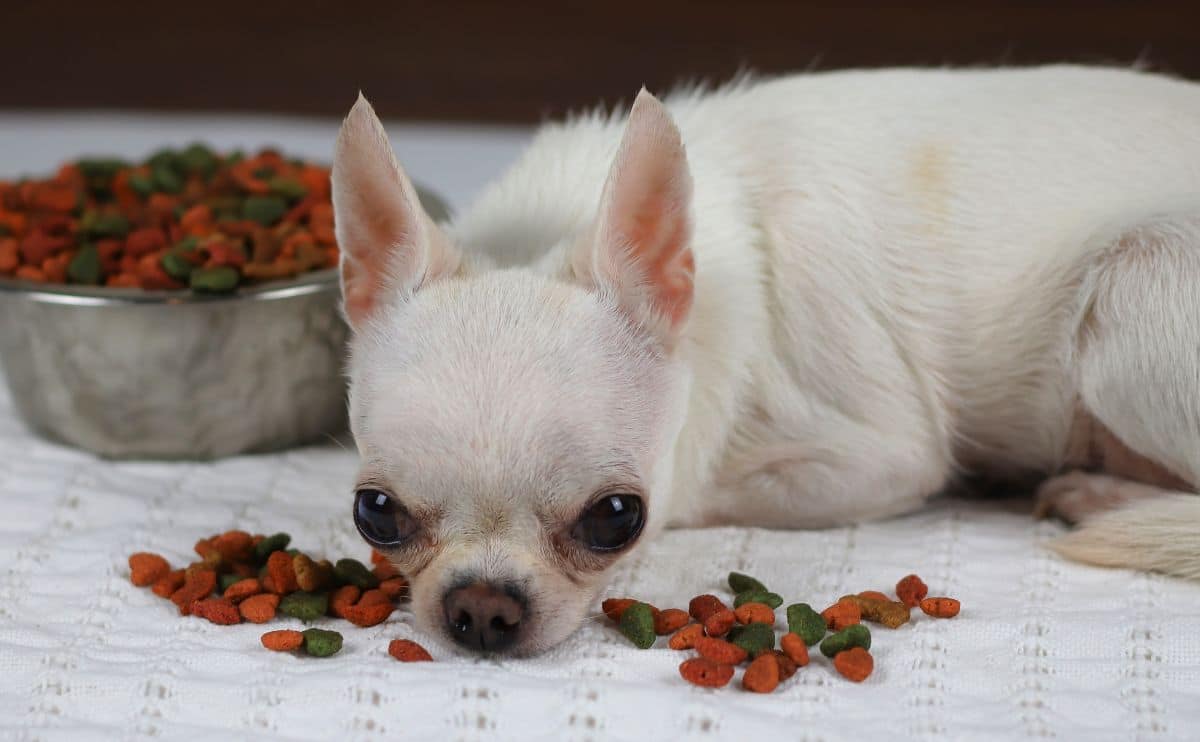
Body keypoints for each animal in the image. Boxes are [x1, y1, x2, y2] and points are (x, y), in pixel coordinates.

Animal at [333, 65, 1200, 653]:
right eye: (375, 513)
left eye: (617, 518)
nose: (482, 608)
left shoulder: (883, 460)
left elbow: (710, 491)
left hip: (1136, 287)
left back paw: (1099, 494)